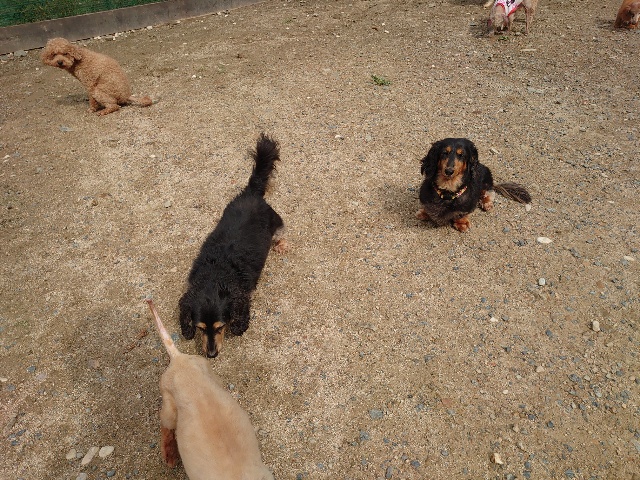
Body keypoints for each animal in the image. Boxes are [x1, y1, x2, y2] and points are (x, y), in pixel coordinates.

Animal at [179, 133, 286, 358]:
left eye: (221, 327)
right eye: (200, 328)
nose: (211, 355)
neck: (215, 273)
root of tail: (252, 192)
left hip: (277, 221)